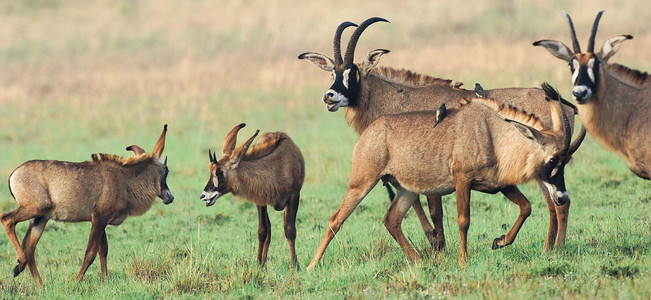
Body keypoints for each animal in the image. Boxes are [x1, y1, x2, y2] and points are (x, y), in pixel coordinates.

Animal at [0, 124, 173, 284]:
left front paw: (104, 280)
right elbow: (90, 253)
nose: (169, 197)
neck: (124, 179)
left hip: (40, 218)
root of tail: (14, 174)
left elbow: (103, 250)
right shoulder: (99, 218)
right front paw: (77, 281)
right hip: (35, 208)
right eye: (166, 170)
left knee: (29, 247)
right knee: (7, 219)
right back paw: (20, 265)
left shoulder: (101, 220)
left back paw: (39, 284)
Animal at [201, 123, 306, 268]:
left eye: (219, 172)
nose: (204, 195)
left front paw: (295, 265)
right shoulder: (260, 201)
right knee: (268, 228)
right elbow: (262, 231)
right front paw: (258, 264)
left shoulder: (294, 196)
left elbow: (290, 230)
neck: (278, 167)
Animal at [300, 16, 584, 251]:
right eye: (333, 72)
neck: (399, 98)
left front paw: (439, 246)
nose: (329, 96)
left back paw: (554, 249)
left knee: (559, 204)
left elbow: (434, 211)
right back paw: (550, 248)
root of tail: (566, 106)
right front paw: (435, 243)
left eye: (353, 73)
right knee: (557, 204)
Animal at [306, 83, 584, 270]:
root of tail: (370, 131)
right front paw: (463, 260)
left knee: (391, 219)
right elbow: (464, 221)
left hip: (407, 190)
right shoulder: (463, 181)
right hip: (362, 183)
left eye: (565, 161)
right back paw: (311, 266)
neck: (494, 132)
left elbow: (525, 207)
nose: (562, 196)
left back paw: (419, 261)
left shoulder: (499, 185)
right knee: (335, 219)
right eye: (552, 160)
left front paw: (500, 241)